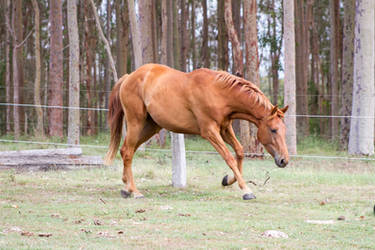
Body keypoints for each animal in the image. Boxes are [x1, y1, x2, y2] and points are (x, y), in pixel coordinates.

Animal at [104, 63, 290, 200]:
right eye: (273, 130)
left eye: (283, 130)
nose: (284, 160)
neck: (218, 93)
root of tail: (129, 77)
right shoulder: (210, 132)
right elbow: (229, 157)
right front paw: (246, 190)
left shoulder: (225, 128)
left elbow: (239, 152)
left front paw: (227, 180)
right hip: (136, 122)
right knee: (128, 152)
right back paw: (134, 191)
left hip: (151, 127)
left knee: (126, 151)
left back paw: (126, 187)